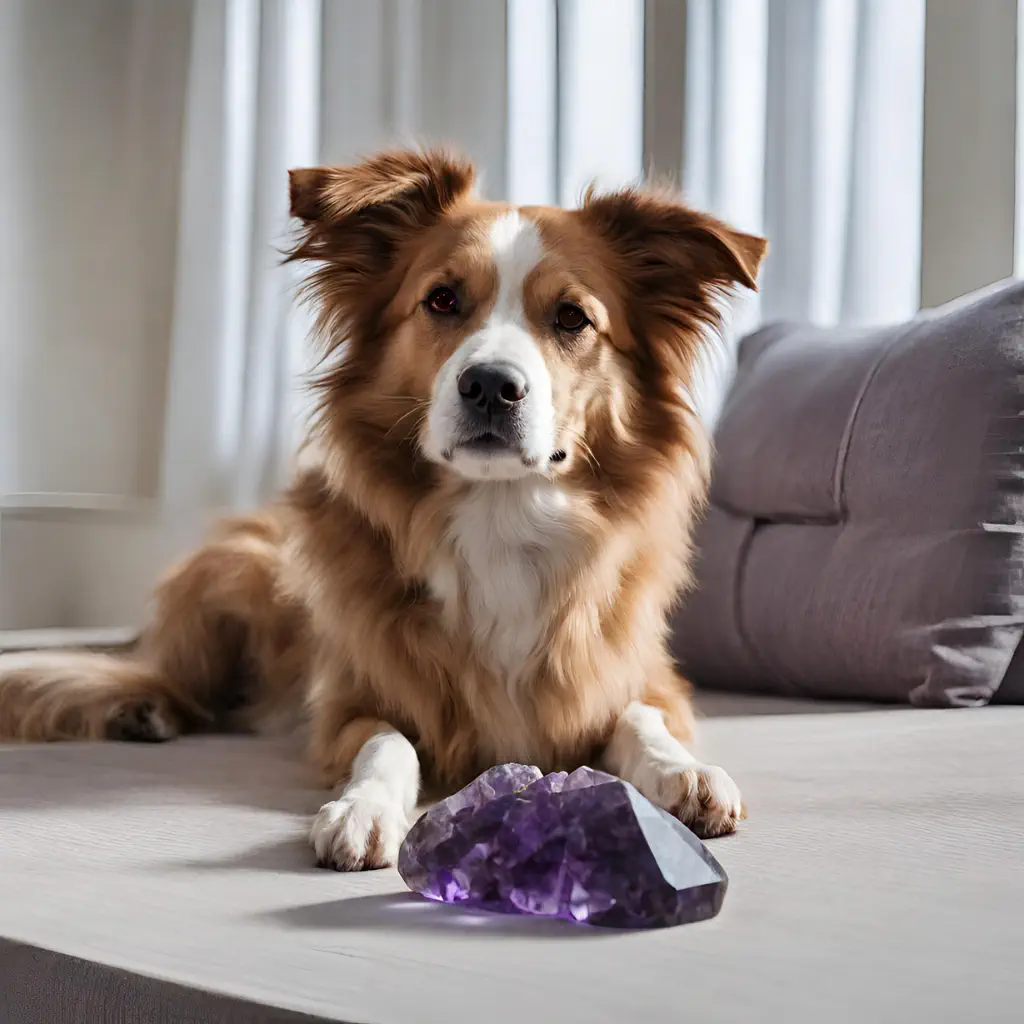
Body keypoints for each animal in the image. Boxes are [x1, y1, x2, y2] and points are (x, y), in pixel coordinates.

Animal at [0, 148, 765, 868]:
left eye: (573, 317)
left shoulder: (648, 679)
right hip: (233, 577)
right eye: (442, 300)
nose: (490, 385)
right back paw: (145, 710)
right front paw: (362, 810)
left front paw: (683, 773)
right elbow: (389, 742)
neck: (500, 517)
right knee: (161, 677)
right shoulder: (345, 705)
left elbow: (641, 720)